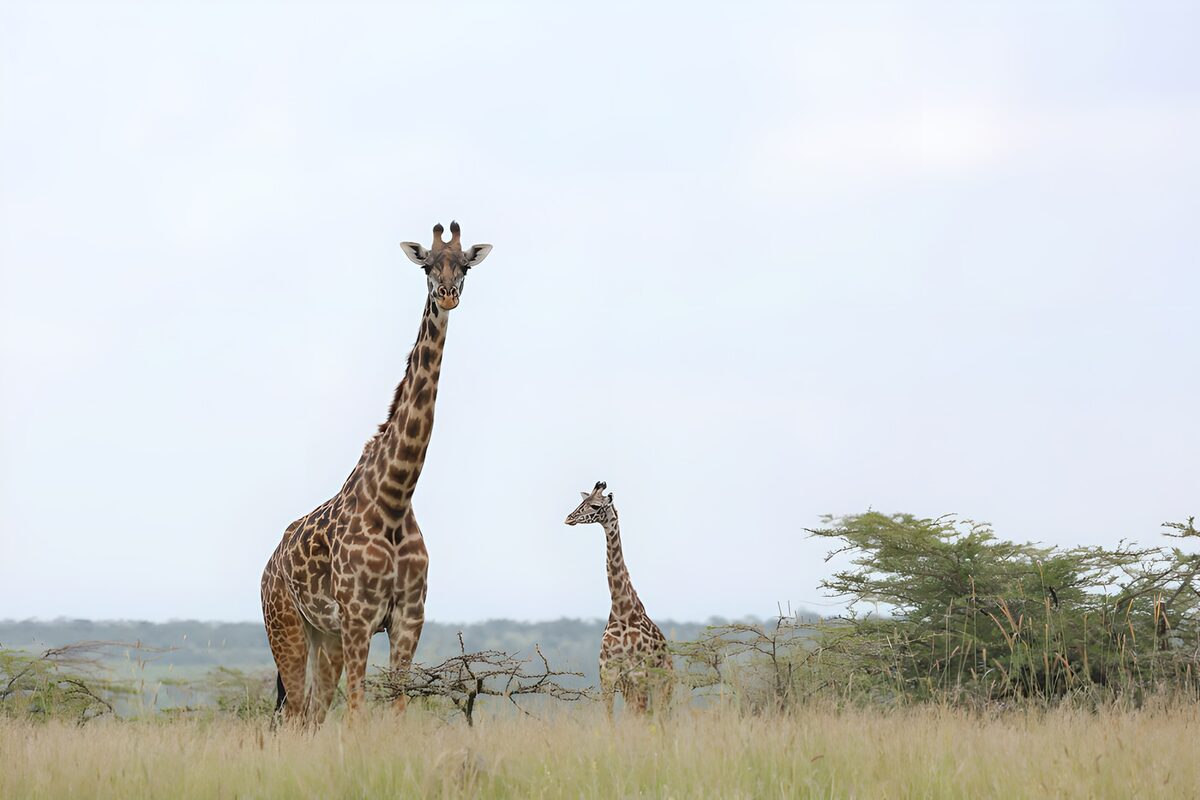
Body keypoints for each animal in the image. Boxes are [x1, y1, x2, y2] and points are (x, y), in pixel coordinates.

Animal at [260, 221, 492, 726]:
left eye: (464, 265)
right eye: (427, 265)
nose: (447, 295)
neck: (395, 498)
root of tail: (268, 566)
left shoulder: (408, 617)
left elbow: (398, 708)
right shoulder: (359, 617)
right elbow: (358, 712)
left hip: (323, 637)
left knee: (310, 716)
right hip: (286, 627)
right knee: (293, 715)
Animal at [564, 481, 674, 715]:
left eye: (596, 506)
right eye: (582, 502)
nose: (568, 518)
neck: (621, 610)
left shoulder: (638, 674)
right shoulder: (607, 674)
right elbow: (610, 718)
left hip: (663, 683)